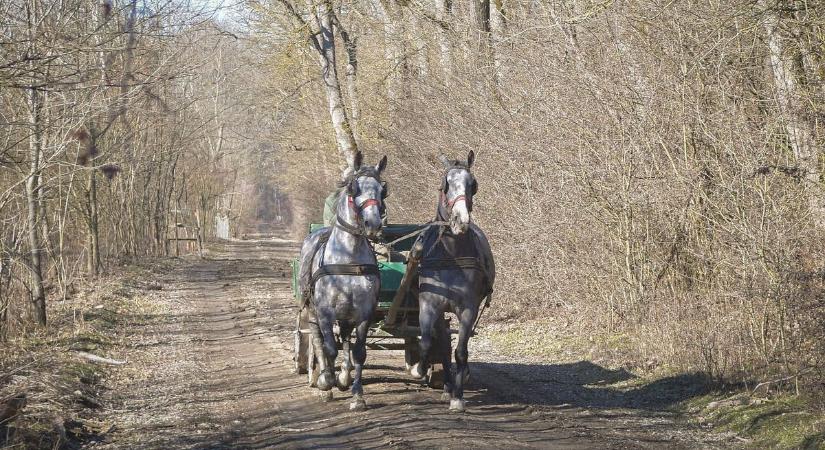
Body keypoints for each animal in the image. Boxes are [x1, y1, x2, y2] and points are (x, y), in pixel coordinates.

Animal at [298, 152, 388, 412]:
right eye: (353, 188)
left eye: (383, 189)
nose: (373, 225)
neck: (349, 258)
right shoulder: (325, 312)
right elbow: (329, 347)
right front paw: (327, 380)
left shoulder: (365, 312)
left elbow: (359, 352)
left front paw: (357, 395)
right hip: (312, 310)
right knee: (318, 339)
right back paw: (324, 379)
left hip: (347, 315)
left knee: (346, 340)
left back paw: (345, 376)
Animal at [408, 150, 492, 412]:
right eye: (445, 185)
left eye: (472, 184)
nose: (460, 220)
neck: (451, 255)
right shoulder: (428, 304)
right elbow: (426, 342)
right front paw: (418, 369)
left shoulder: (468, 308)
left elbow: (461, 351)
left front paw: (458, 396)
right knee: (441, 343)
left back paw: (453, 384)